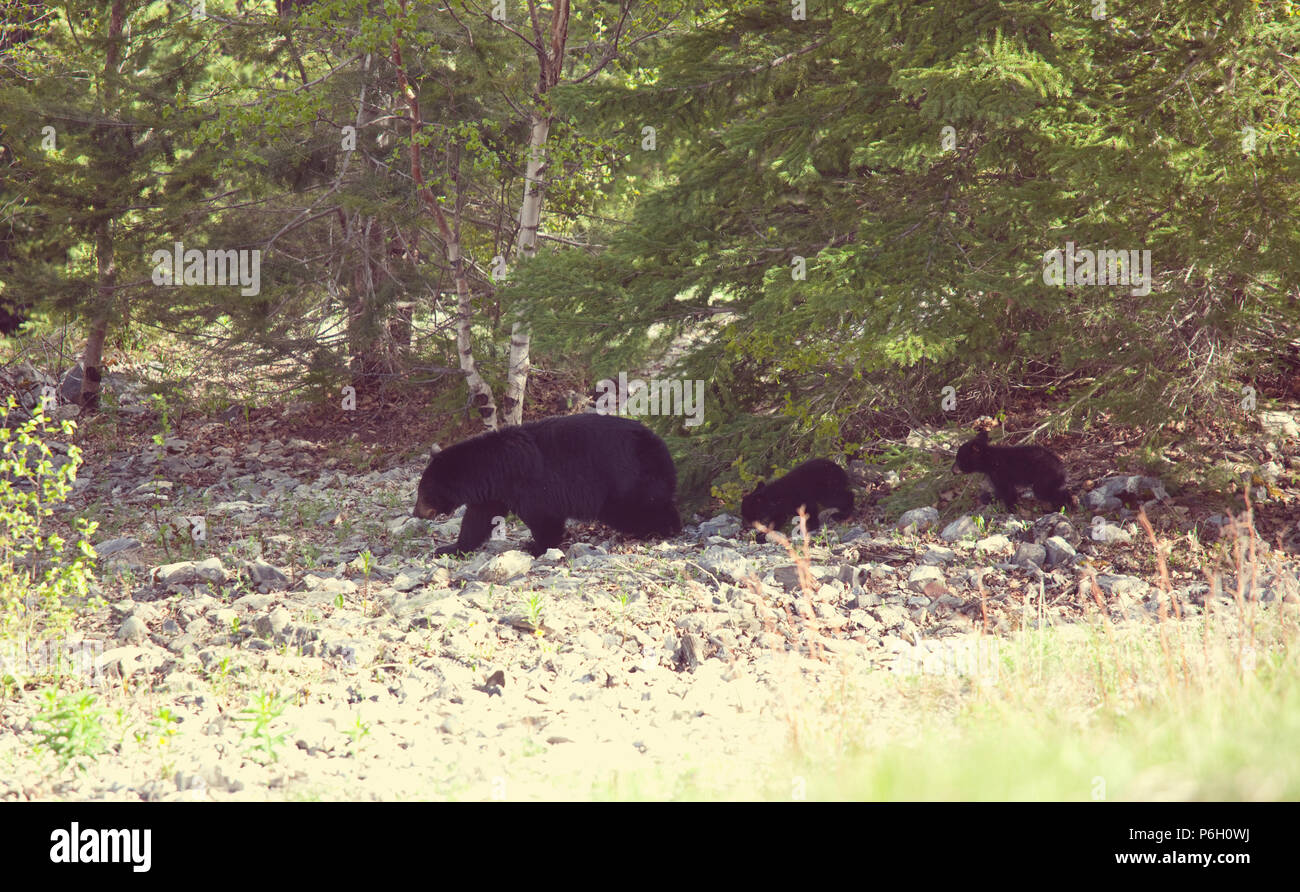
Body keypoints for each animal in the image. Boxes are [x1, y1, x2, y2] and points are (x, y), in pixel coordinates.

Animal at [413, 413, 681, 558]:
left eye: (422, 493)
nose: (416, 512)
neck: (494, 469)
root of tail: (660, 445)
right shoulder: (492, 495)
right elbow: (477, 521)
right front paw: (450, 548)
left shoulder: (529, 486)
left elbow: (543, 518)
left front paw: (535, 546)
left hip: (625, 479)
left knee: (641, 508)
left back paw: (664, 528)